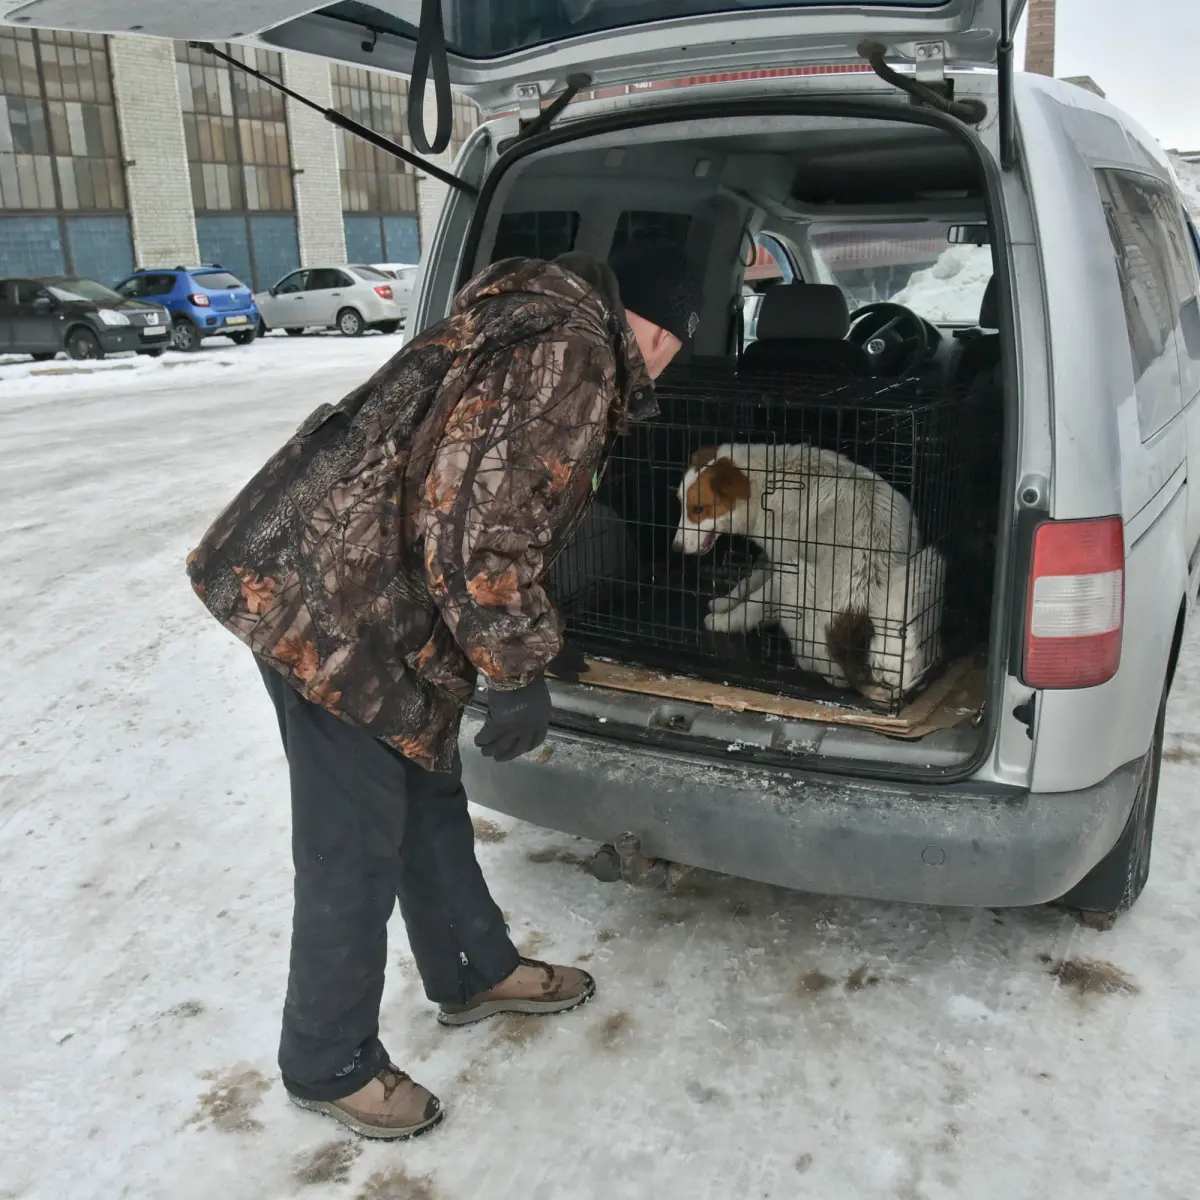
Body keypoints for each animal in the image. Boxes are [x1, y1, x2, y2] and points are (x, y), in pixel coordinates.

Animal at [672, 444, 940, 700]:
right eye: (681, 504)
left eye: (699, 509)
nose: (675, 548)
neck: (767, 482)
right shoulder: (774, 557)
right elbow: (748, 582)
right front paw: (725, 602)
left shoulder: (785, 561)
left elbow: (752, 602)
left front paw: (722, 619)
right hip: (927, 565)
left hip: (794, 576)